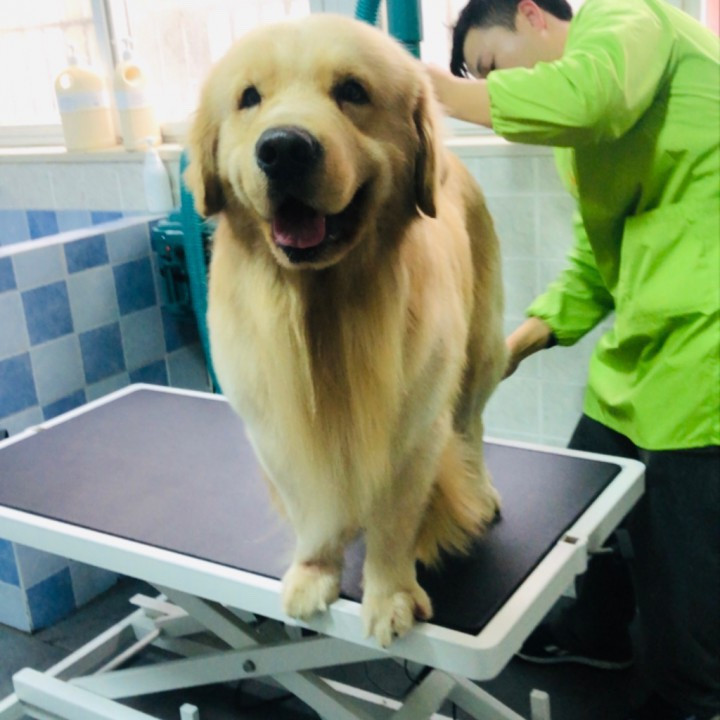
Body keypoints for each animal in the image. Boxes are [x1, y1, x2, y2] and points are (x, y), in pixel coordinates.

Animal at [186, 14, 506, 647]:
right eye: (249, 98)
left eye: (353, 91)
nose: (284, 148)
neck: (322, 306)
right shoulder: (275, 432)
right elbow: (312, 511)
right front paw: (314, 572)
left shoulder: (412, 430)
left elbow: (393, 522)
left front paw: (390, 596)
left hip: (481, 355)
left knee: (472, 428)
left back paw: (480, 492)